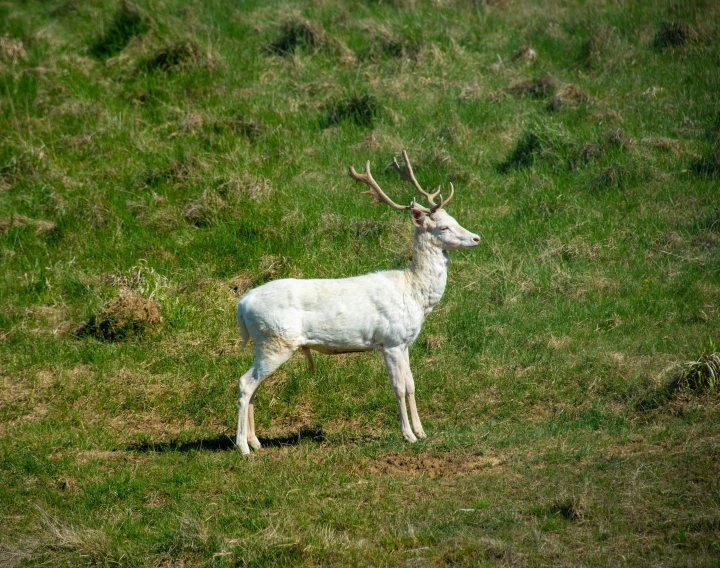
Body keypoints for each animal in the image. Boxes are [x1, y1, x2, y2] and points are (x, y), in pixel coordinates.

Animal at [236, 151, 480, 452]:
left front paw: (422, 432)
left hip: (264, 343)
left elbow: (412, 385)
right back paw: (242, 447)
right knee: (245, 383)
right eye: (443, 226)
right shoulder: (391, 340)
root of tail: (242, 305)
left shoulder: (405, 342)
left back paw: (256, 441)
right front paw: (408, 435)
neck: (414, 293)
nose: (476, 237)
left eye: (455, 218)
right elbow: (398, 387)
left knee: (253, 386)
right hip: (276, 340)